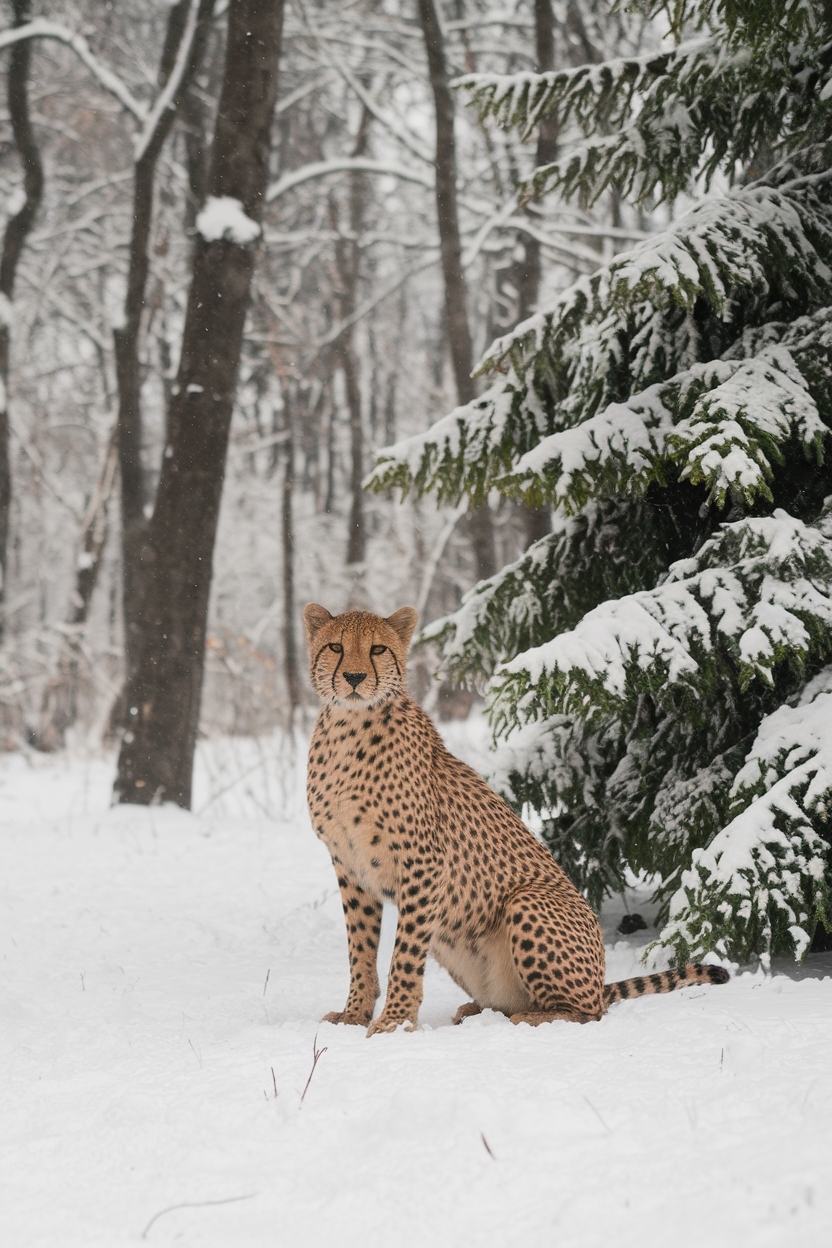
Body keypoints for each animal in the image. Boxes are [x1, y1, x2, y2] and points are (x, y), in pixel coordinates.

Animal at [303, 603, 729, 1036]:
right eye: (336, 647)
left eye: (377, 649)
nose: (355, 678)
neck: (349, 725)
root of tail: (600, 979)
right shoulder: (350, 866)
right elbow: (360, 948)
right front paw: (354, 1015)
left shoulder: (425, 865)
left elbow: (404, 954)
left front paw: (395, 1021)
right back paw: (480, 1010)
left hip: (526, 901)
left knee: (590, 1011)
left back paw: (532, 1018)